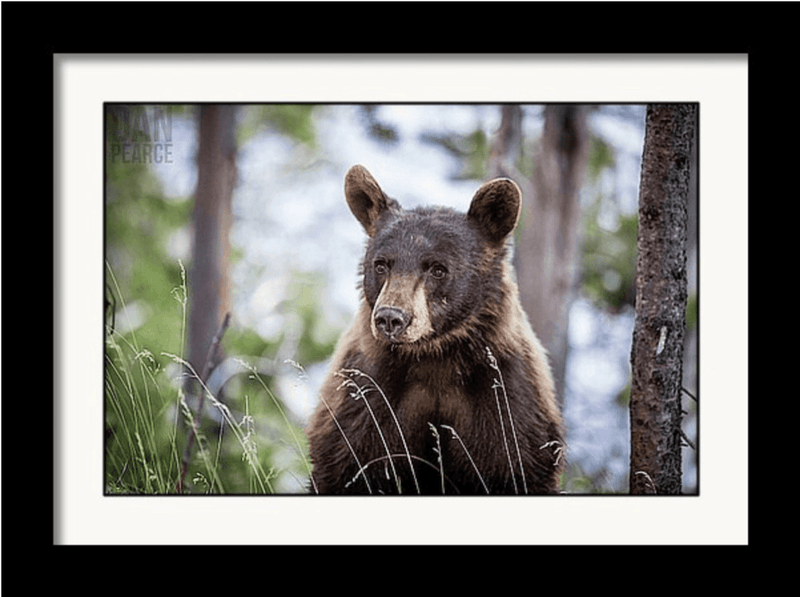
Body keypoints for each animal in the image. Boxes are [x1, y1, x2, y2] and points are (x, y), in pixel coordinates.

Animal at [306, 164, 564, 494]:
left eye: (438, 268)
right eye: (381, 264)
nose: (391, 318)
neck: (435, 357)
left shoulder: (507, 401)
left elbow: (515, 464)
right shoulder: (366, 400)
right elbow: (349, 465)